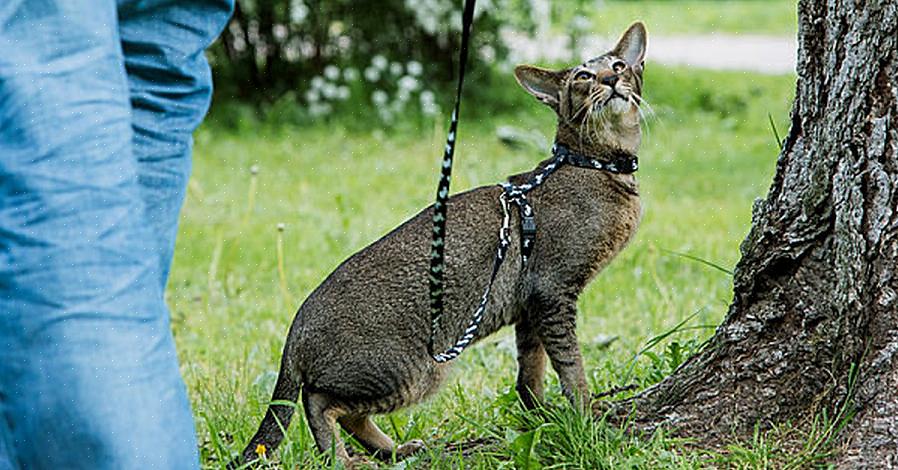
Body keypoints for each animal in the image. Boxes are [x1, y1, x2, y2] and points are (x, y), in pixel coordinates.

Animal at [234, 23, 648, 470]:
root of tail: (295, 326)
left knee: (346, 412)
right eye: (584, 77)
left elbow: (529, 372)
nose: (610, 79)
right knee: (318, 401)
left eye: (619, 65)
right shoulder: (552, 291)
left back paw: (392, 450)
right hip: (414, 369)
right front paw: (586, 416)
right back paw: (342, 459)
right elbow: (571, 365)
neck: (596, 165)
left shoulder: (529, 305)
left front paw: (539, 417)